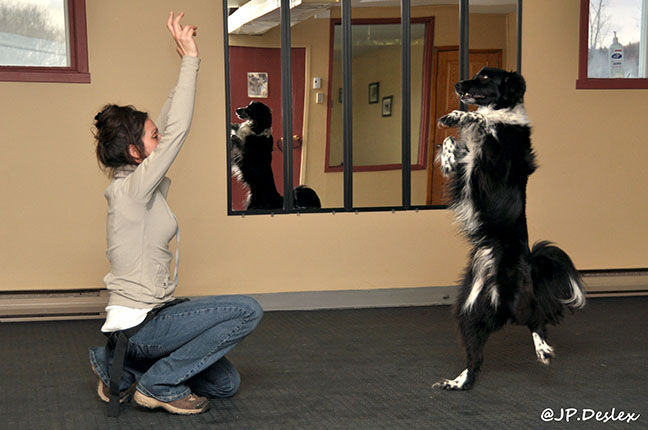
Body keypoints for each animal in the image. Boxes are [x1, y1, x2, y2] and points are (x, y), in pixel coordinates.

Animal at [432, 66, 584, 390]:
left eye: (486, 78)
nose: (458, 84)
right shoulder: (466, 168)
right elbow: (451, 141)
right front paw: (449, 146)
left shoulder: (493, 160)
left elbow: (482, 120)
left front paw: (459, 116)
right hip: (468, 310)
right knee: (475, 359)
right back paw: (457, 383)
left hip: (519, 299)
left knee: (536, 319)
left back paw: (543, 351)